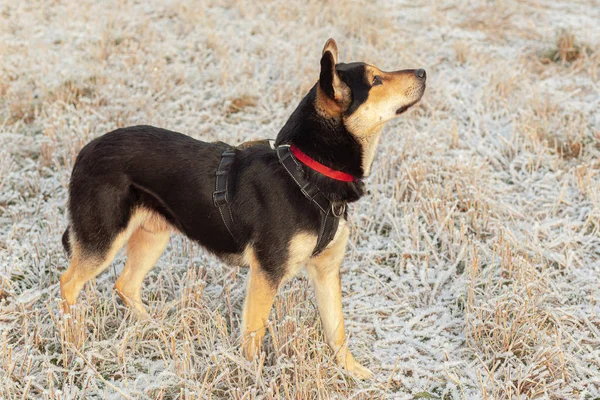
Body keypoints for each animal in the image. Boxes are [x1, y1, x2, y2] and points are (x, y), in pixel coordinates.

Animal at [59, 39, 426, 380]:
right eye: (376, 80)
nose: (423, 71)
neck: (306, 171)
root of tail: (84, 151)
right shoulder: (267, 273)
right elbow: (254, 333)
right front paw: (254, 379)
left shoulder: (326, 270)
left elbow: (337, 330)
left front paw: (355, 372)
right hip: (104, 239)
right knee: (68, 283)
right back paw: (73, 342)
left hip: (152, 237)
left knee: (125, 285)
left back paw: (156, 328)